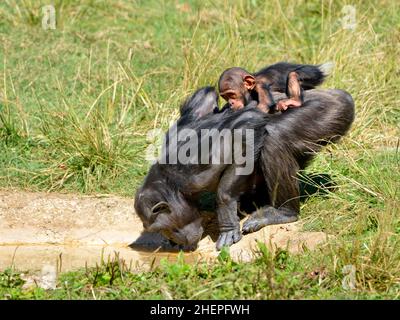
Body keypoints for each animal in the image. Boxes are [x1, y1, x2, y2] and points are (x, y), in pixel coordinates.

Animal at [135, 87, 356, 250]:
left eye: (164, 228)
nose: (172, 240)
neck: (173, 186)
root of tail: (341, 94)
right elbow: (205, 97)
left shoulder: (194, 169)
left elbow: (243, 130)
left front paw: (226, 221)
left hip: (329, 112)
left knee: (274, 138)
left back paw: (282, 212)